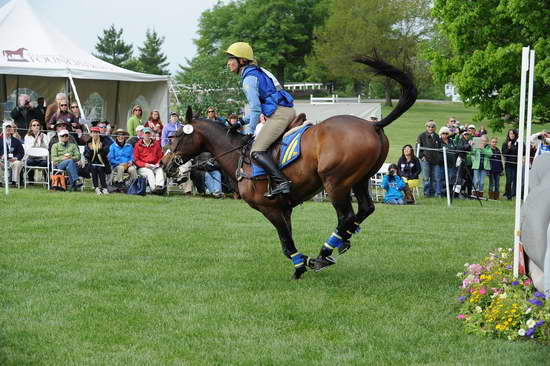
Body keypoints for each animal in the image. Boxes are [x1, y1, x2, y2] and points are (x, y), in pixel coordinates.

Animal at [164, 54, 418, 278]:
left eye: (176, 136)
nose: (165, 164)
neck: (237, 154)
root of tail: (372, 125)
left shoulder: (270, 208)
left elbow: (286, 243)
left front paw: (300, 266)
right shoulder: (285, 209)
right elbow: (287, 240)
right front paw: (301, 262)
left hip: (335, 182)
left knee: (346, 216)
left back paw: (324, 254)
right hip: (360, 179)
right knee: (364, 209)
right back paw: (343, 239)